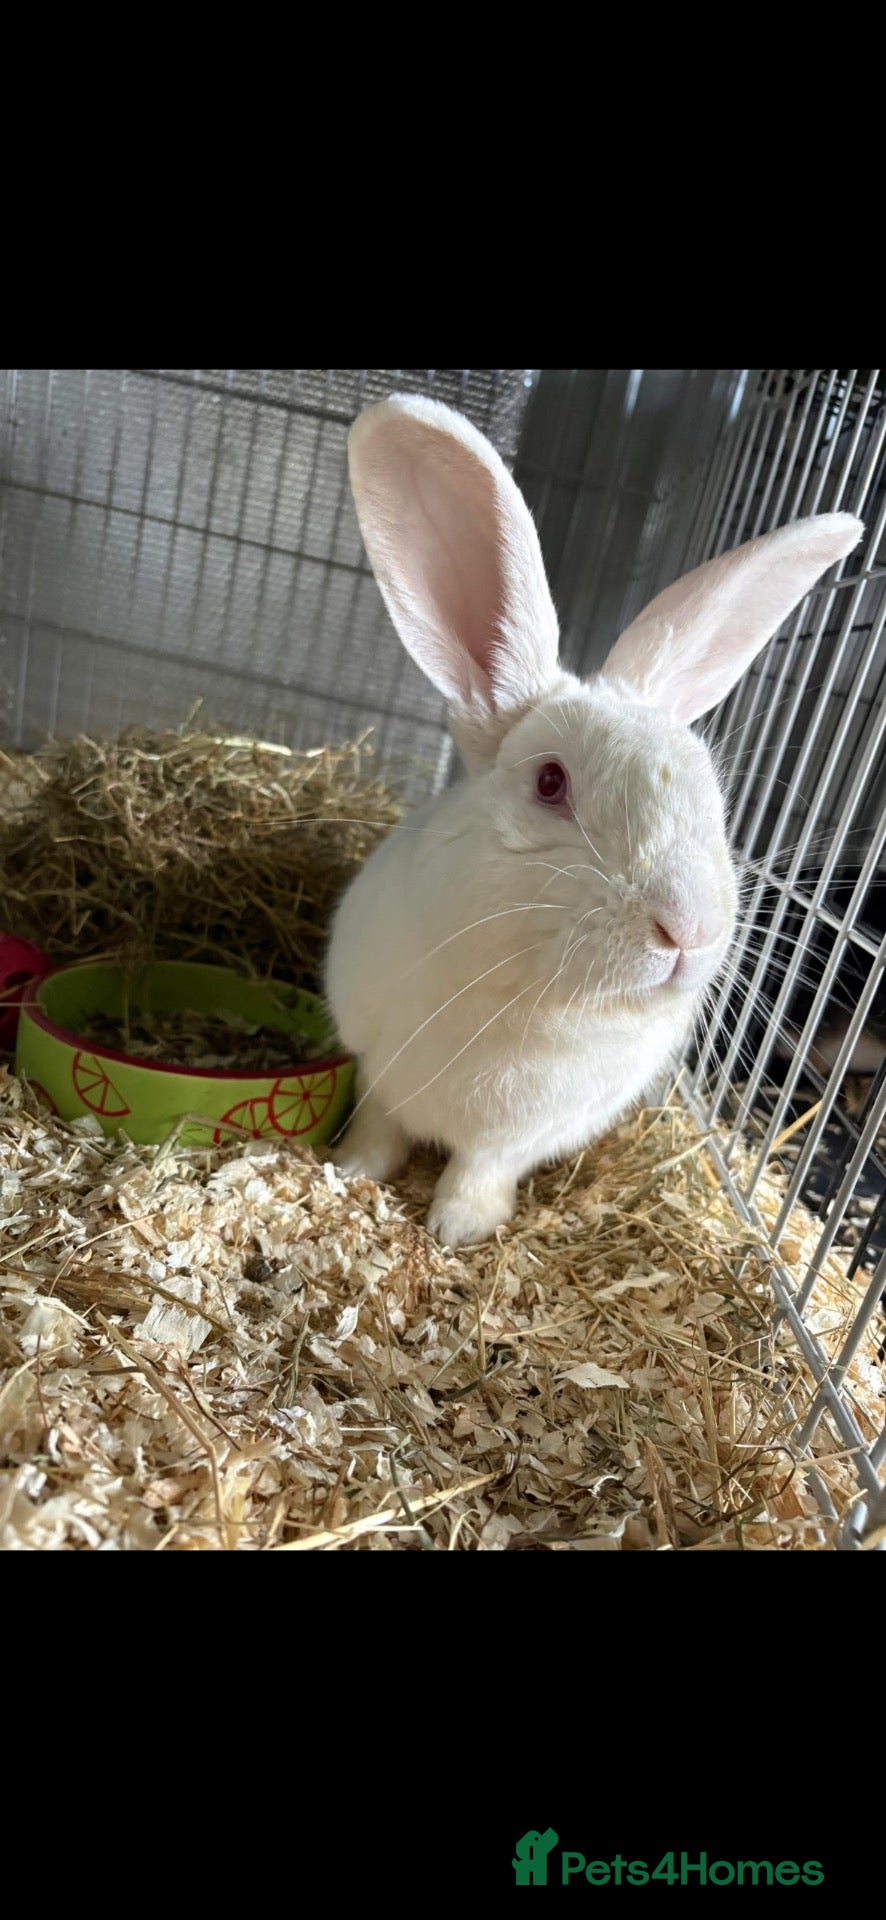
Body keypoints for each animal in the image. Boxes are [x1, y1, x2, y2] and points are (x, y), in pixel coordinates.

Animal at [325, 393, 863, 1248]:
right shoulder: (378, 1065)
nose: (690, 929)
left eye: (712, 796)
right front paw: (351, 1171)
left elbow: (482, 1168)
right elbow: (381, 1127)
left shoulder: (522, 1135)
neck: (541, 998)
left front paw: (460, 1228)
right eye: (550, 782)